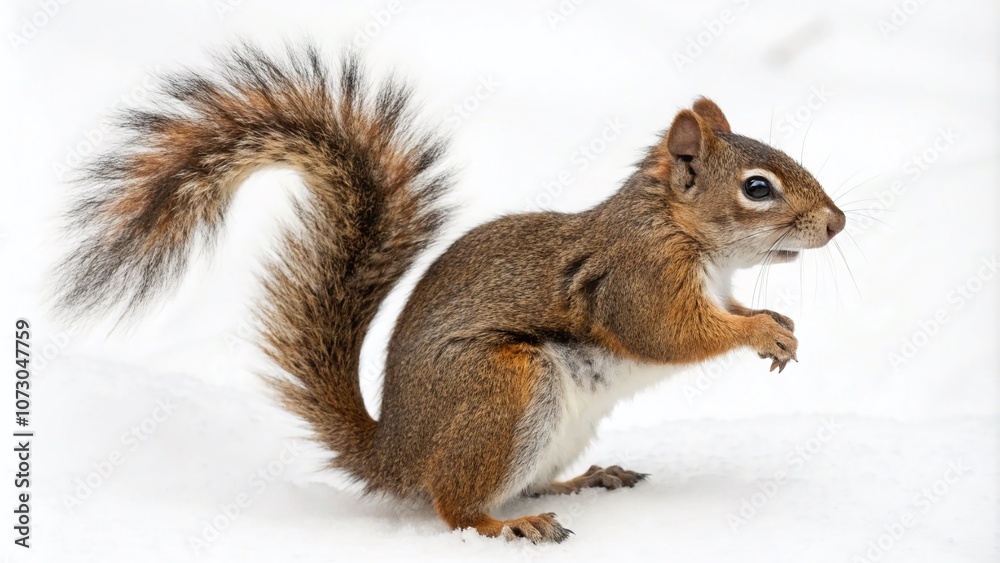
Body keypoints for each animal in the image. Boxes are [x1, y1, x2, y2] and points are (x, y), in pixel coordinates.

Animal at [54, 44, 845, 543]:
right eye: (758, 188)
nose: (838, 223)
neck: (680, 229)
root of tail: (396, 453)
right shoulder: (638, 277)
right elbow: (673, 333)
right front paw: (761, 332)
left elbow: (728, 311)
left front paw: (777, 322)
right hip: (502, 385)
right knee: (456, 507)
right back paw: (509, 524)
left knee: (515, 483)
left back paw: (582, 479)